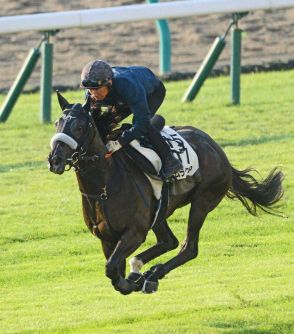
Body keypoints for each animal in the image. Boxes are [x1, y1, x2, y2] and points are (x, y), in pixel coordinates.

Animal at [48, 92, 284, 294]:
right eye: (57, 123)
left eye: (79, 126)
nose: (55, 160)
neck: (103, 186)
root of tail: (217, 149)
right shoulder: (106, 238)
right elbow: (113, 269)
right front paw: (133, 277)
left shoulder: (136, 231)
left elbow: (112, 269)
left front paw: (133, 282)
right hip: (160, 212)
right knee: (170, 241)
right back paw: (145, 272)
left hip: (203, 201)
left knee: (189, 248)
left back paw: (153, 275)